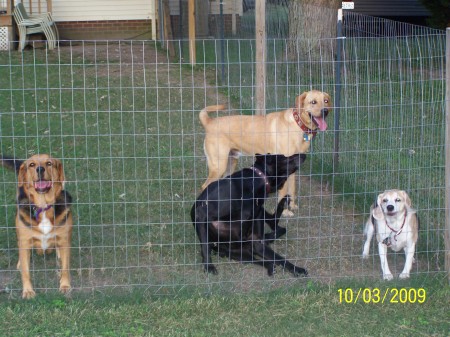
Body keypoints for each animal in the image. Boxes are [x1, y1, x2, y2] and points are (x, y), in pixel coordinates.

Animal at [0, 154, 72, 298]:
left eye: (49, 163)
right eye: (32, 165)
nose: (40, 169)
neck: (43, 206)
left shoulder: (65, 240)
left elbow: (65, 268)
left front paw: (65, 286)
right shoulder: (25, 242)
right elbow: (26, 272)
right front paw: (28, 291)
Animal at [200, 90, 330, 215]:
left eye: (326, 101)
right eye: (313, 102)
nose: (325, 111)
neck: (298, 125)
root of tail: (209, 122)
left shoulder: (293, 166)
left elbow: (292, 189)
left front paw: (292, 206)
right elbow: (283, 192)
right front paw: (285, 212)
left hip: (230, 162)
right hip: (218, 166)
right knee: (204, 186)